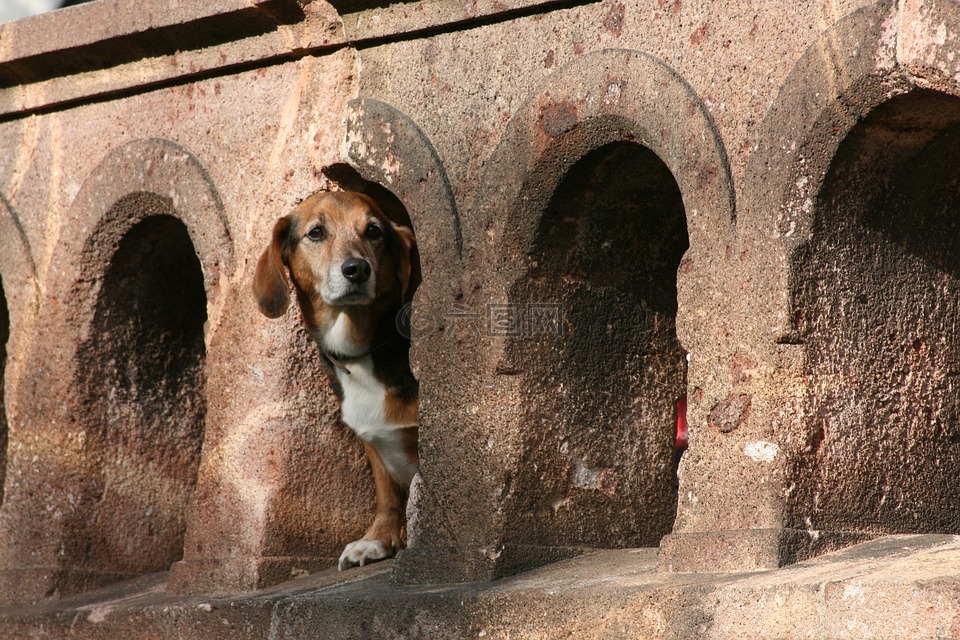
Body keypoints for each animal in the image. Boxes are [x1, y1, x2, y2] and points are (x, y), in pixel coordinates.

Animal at [253, 190, 418, 568]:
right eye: (316, 232)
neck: (362, 352)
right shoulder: (374, 445)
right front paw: (377, 539)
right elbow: (387, 496)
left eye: (374, 231)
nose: (357, 269)